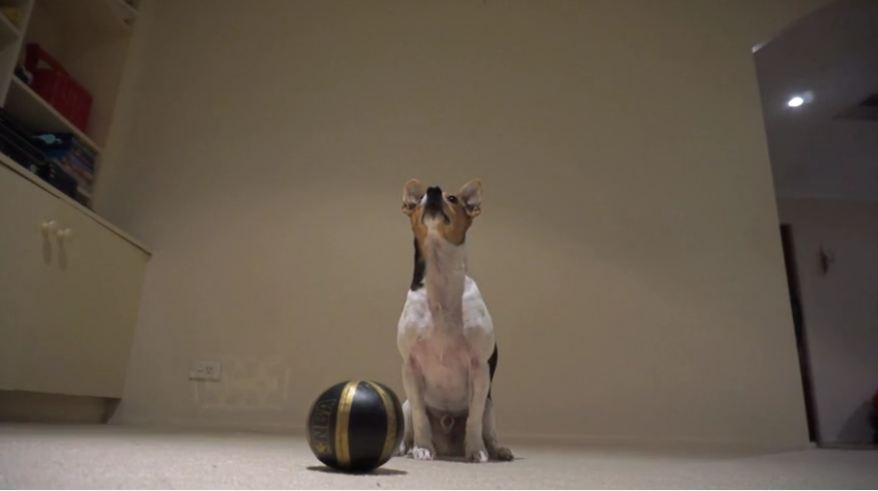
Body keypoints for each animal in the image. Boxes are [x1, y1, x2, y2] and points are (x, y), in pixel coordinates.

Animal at [396, 179, 512, 464]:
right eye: (419, 199)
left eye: (453, 198)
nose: (433, 191)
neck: (441, 280)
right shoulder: (410, 366)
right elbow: (420, 415)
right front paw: (423, 448)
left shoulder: (479, 368)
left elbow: (473, 419)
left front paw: (476, 451)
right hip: (404, 404)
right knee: (409, 423)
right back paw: (405, 448)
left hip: (490, 407)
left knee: (487, 428)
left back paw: (497, 450)